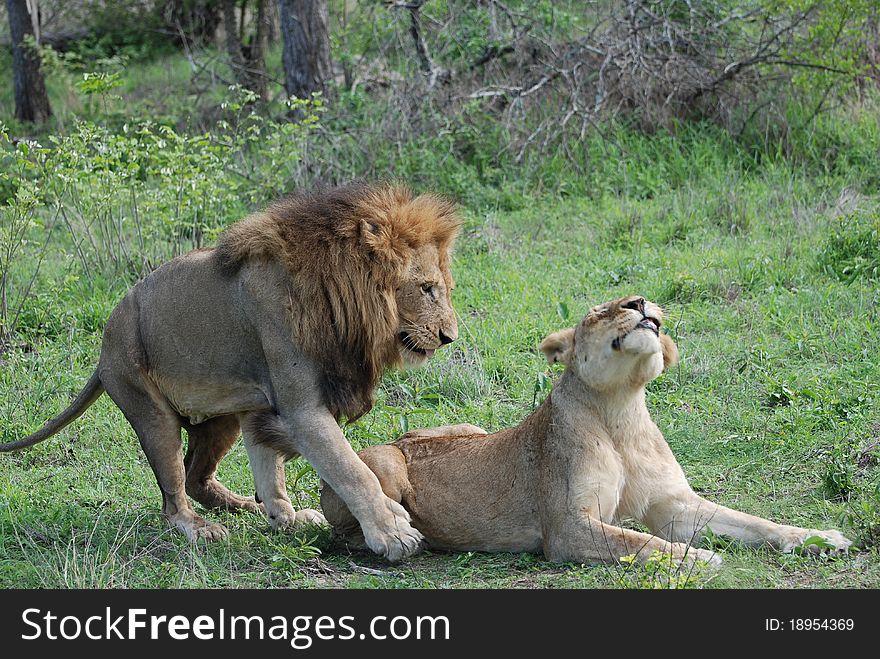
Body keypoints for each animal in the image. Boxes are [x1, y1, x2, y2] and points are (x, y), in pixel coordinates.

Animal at [3, 182, 460, 564]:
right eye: (427, 288)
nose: (449, 337)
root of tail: (102, 353)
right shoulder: (303, 409)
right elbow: (352, 470)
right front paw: (392, 533)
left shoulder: (264, 406)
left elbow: (269, 466)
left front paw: (284, 517)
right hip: (148, 408)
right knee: (173, 495)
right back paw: (200, 528)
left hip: (222, 417)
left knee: (196, 478)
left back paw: (249, 506)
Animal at [324, 296, 852, 564]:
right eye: (602, 310)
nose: (640, 301)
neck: (621, 411)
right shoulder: (567, 530)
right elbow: (640, 542)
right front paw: (697, 559)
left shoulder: (675, 506)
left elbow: (753, 522)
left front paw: (820, 537)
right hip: (385, 462)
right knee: (354, 521)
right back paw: (401, 536)